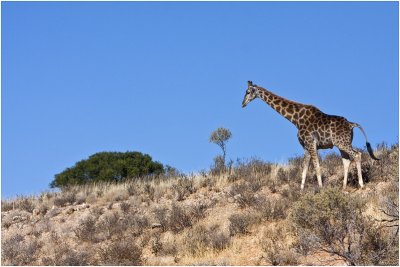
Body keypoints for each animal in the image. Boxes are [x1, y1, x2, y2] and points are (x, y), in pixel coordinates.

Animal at [242, 81, 380, 191]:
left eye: (248, 92)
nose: (242, 104)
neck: (295, 119)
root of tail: (351, 124)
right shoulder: (305, 146)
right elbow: (304, 170)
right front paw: (301, 191)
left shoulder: (310, 143)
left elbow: (317, 167)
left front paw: (321, 188)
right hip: (341, 144)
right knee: (346, 161)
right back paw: (343, 187)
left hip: (343, 143)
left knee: (357, 155)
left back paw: (361, 184)